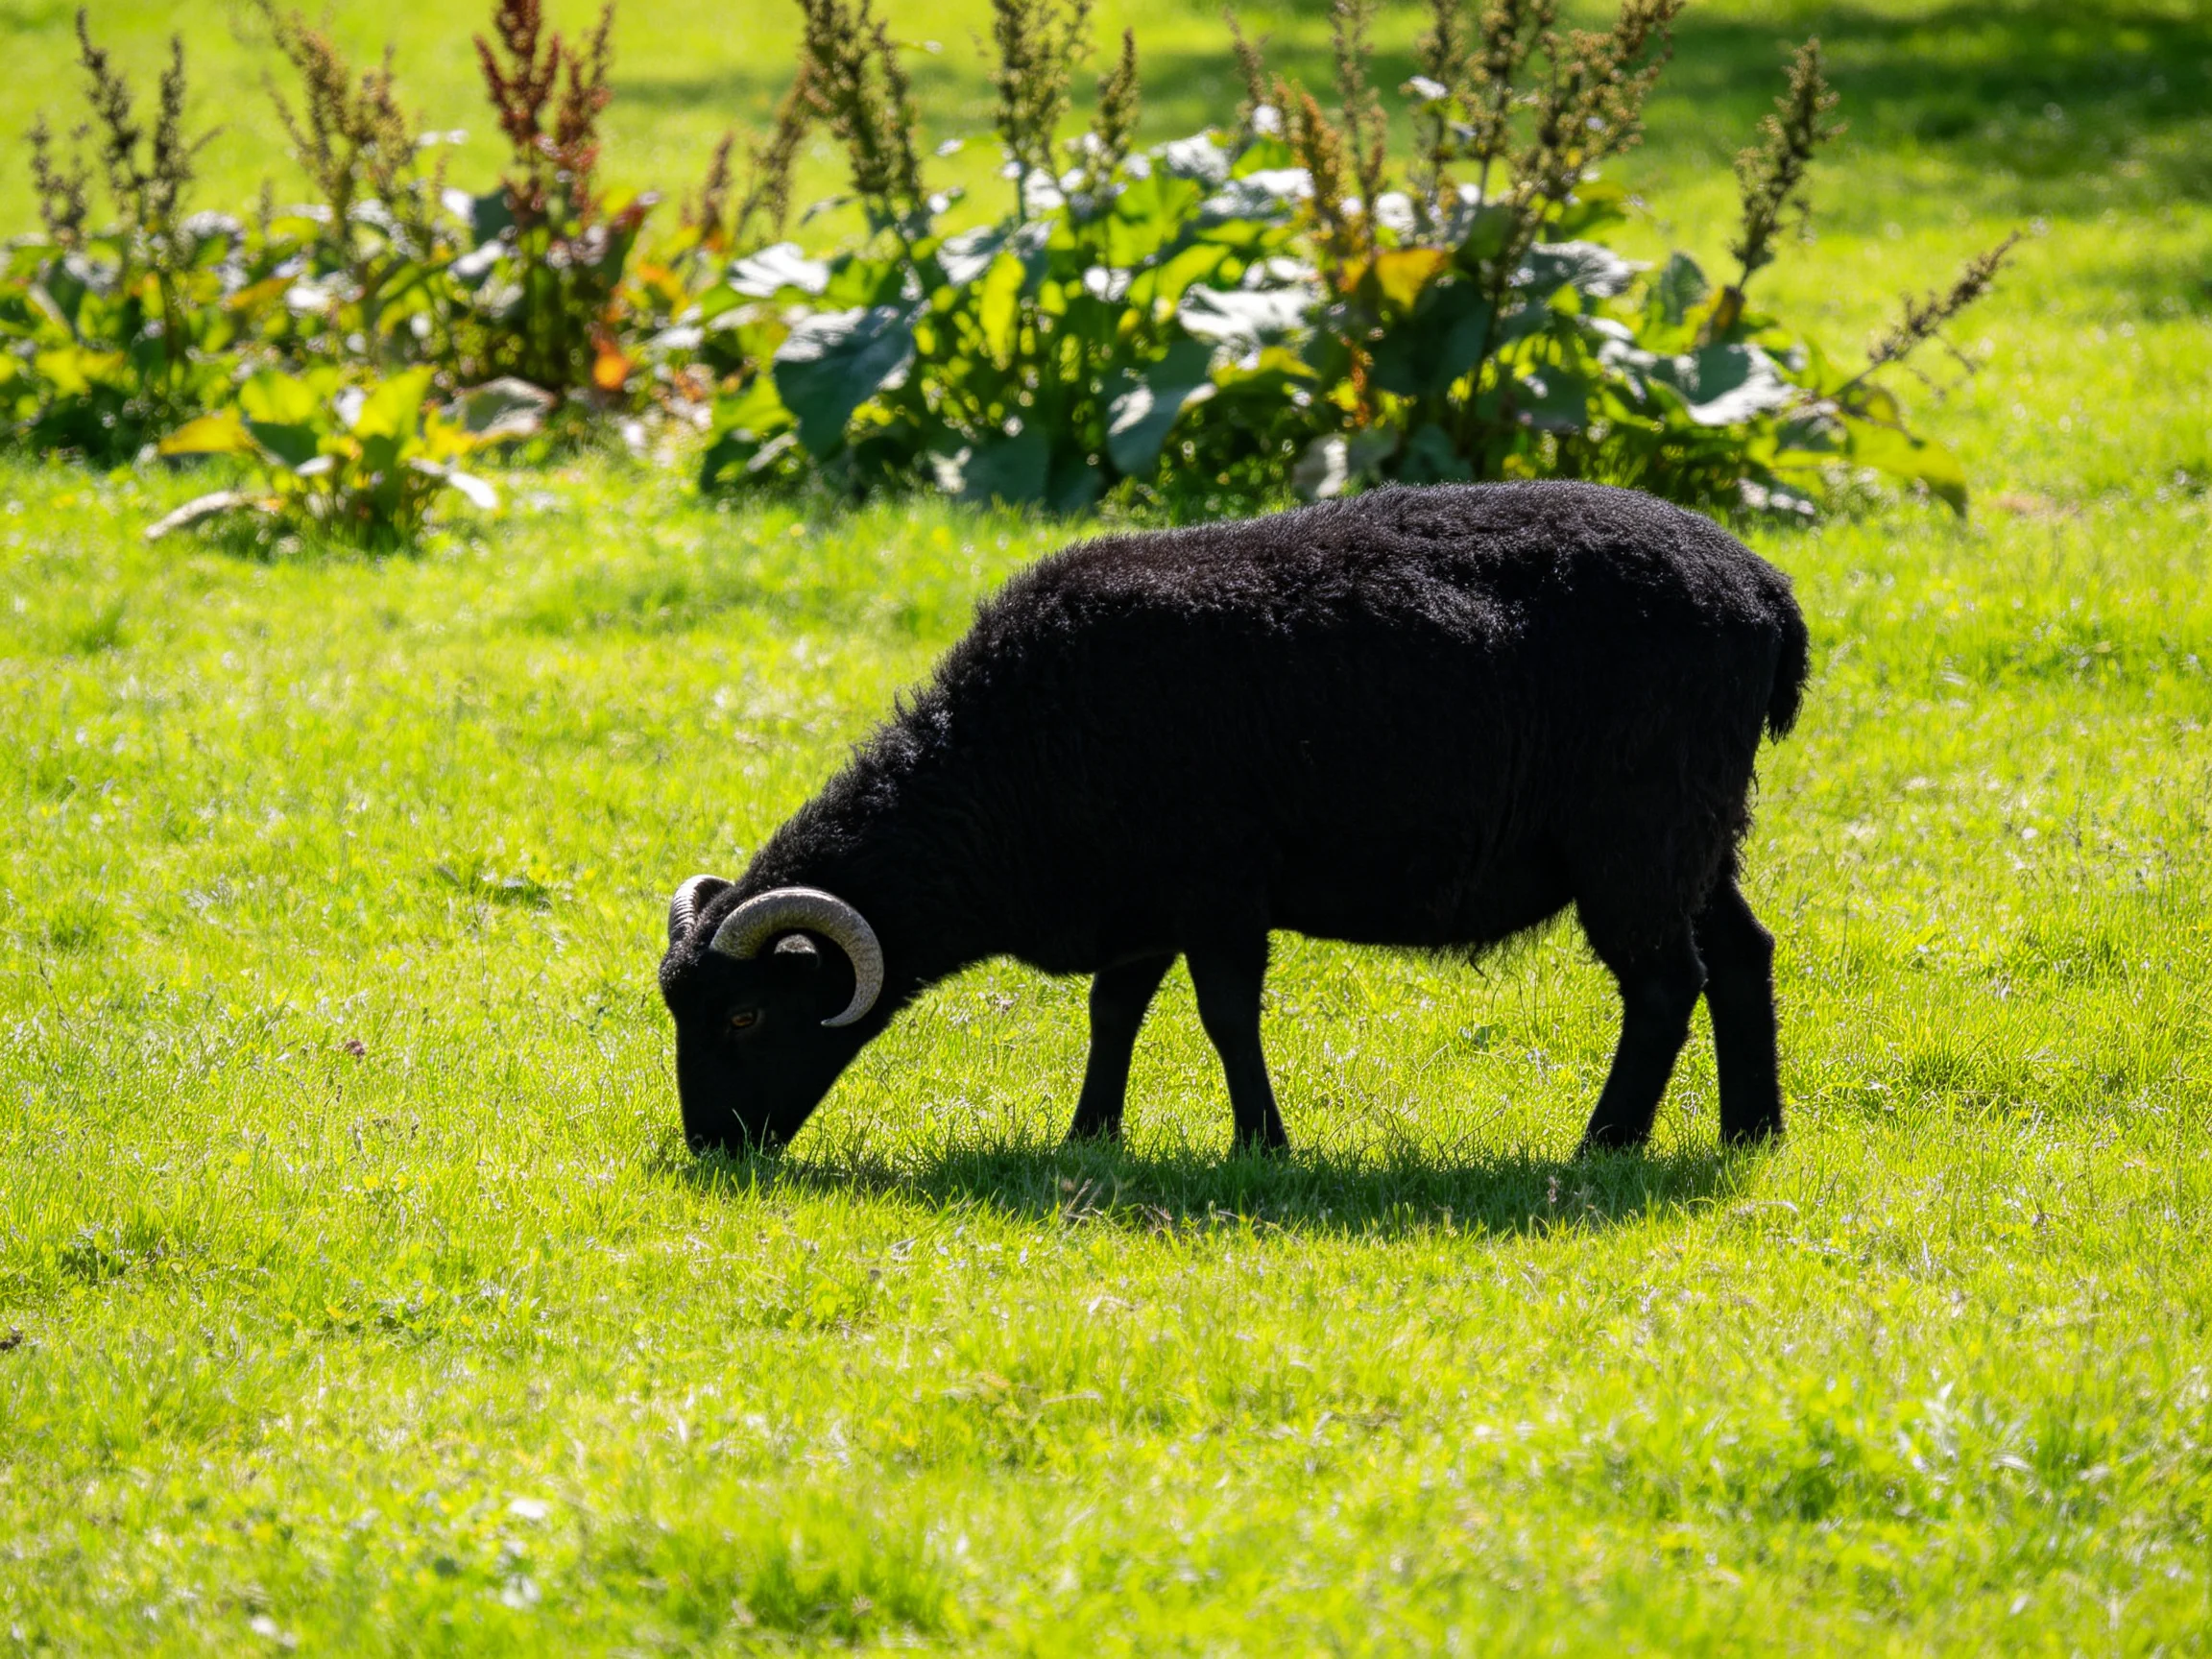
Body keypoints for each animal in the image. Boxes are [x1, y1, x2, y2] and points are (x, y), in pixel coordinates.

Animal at [659, 480, 1810, 1158]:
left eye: (747, 1016)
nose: (712, 1148)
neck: (999, 769)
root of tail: (1765, 591)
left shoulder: (1217, 886)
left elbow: (1223, 1016)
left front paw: (1264, 1145)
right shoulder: (1141, 900)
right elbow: (1114, 1010)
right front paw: (1090, 1135)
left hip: (1637, 834)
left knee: (1664, 985)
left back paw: (1604, 1146)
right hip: (1701, 831)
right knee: (1742, 953)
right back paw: (1752, 1133)